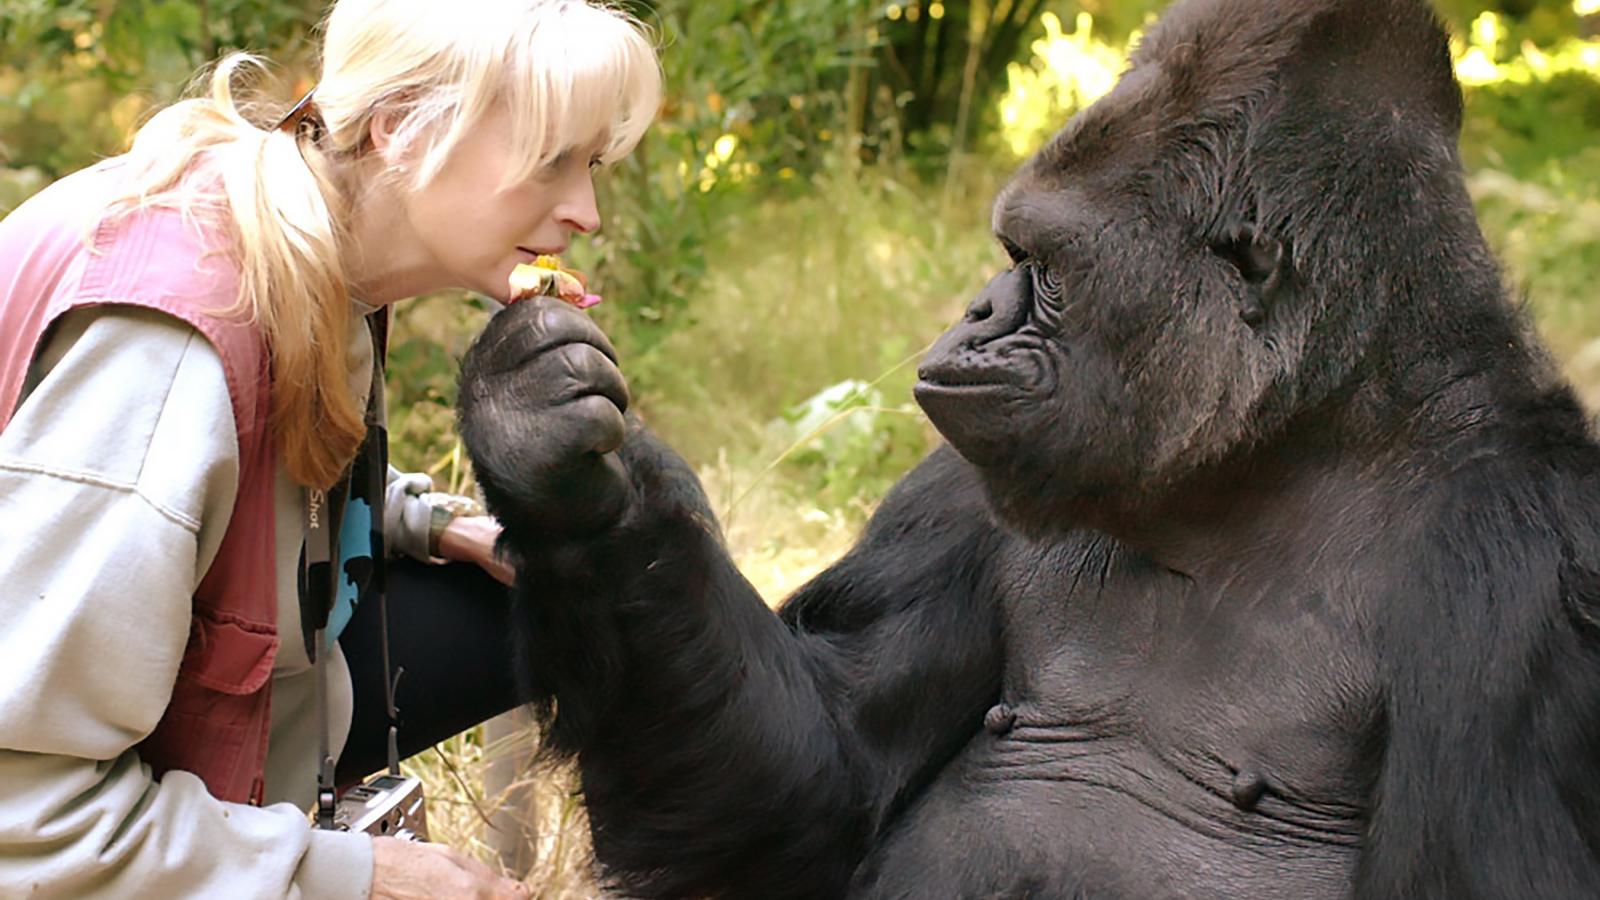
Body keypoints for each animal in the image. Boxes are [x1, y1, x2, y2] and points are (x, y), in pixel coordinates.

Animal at [457, 0, 1600, 890]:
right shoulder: (965, 484)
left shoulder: (1533, 575)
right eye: (1010, 253)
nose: (974, 311)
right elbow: (813, 781)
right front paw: (563, 474)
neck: (1285, 447)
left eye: (1040, 265)